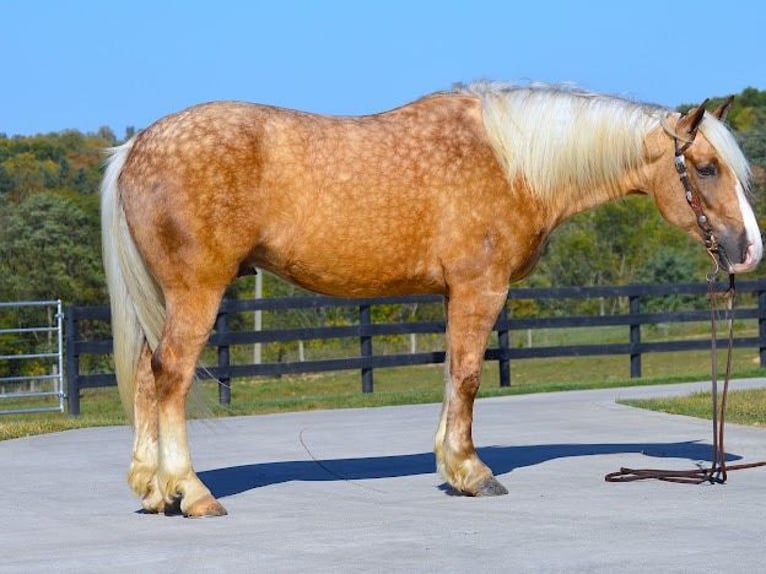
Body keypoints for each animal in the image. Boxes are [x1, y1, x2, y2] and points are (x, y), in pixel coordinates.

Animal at [102, 83, 760, 520]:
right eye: (705, 168)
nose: (749, 250)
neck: (513, 162)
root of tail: (134, 147)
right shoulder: (480, 286)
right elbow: (468, 377)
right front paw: (472, 473)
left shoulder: (456, 293)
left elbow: (451, 377)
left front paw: (450, 465)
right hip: (197, 291)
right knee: (172, 376)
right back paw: (192, 492)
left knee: (146, 376)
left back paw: (155, 489)